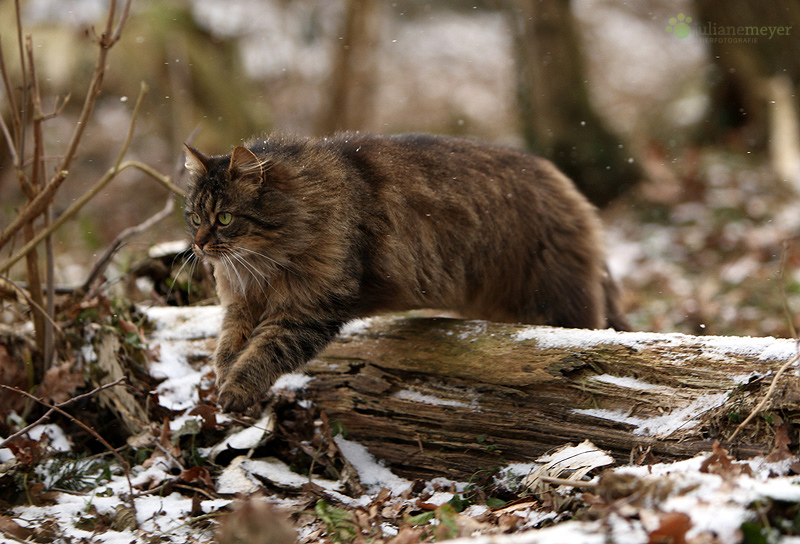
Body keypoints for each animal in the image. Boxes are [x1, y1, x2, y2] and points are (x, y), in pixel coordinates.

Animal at [184, 133, 628, 412]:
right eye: (194, 218)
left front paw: (236, 391)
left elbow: (263, 353)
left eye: (224, 218)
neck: (260, 264)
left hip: (554, 300)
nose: (199, 245)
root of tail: (563, 182)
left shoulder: (308, 310)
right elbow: (227, 345)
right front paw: (224, 374)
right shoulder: (242, 304)